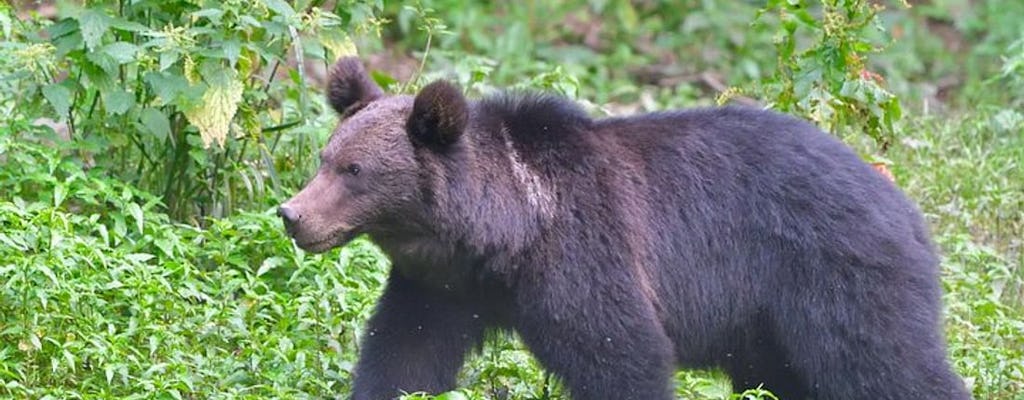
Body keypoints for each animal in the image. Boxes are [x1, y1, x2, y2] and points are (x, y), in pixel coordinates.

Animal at [278, 57, 966, 400]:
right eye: (324, 157)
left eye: (354, 170)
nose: (293, 215)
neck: (505, 236)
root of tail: (907, 207)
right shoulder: (442, 287)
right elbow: (405, 355)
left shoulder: (585, 255)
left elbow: (621, 354)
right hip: (768, 322)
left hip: (831, 273)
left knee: (888, 363)